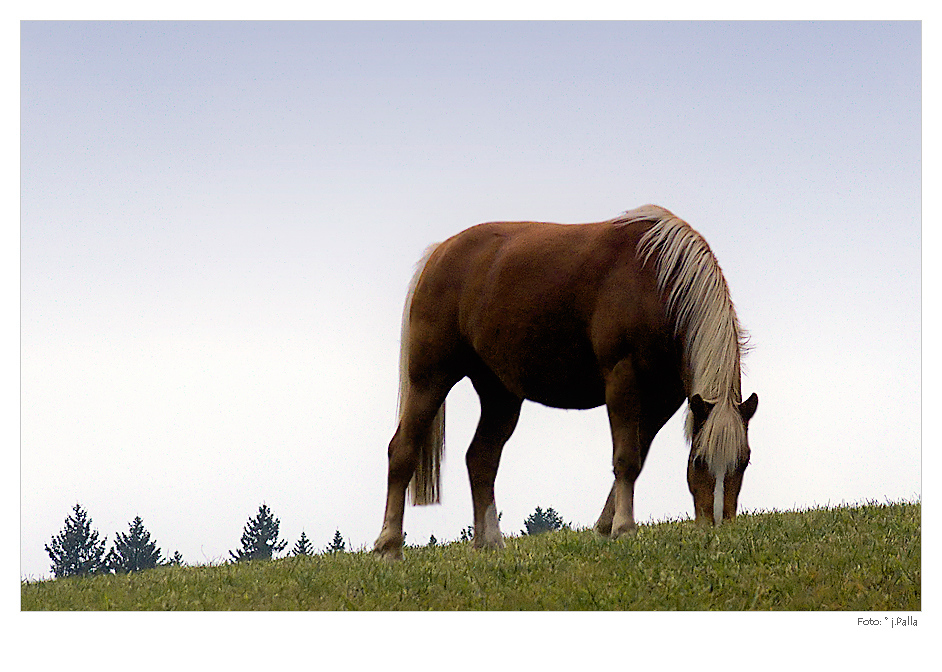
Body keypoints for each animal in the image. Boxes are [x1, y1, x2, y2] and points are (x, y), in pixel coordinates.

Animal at [376, 205, 760, 560]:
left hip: (500, 394)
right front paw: (624, 528)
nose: (717, 525)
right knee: (403, 450)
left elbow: (638, 456)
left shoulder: (662, 399)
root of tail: (439, 253)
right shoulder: (623, 380)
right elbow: (626, 458)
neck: (657, 282)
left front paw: (606, 526)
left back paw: (489, 543)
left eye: (744, 461)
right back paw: (389, 545)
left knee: (481, 459)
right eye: (699, 461)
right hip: (430, 378)